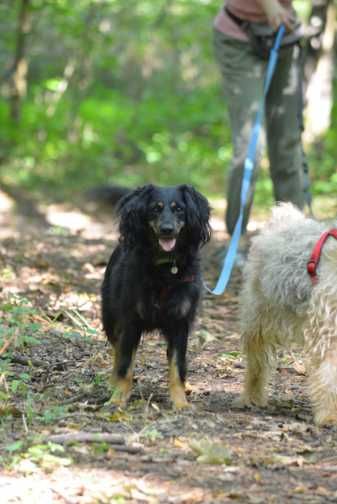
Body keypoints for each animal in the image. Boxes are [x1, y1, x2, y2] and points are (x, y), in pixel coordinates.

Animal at [101, 183, 210, 408]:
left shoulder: (180, 324)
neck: (165, 268)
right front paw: (117, 399)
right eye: (155, 209)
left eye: (179, 209)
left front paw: (180, 403)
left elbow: (178, 366)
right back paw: (113, 383)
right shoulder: (130, 321)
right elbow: (125, 363)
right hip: (110, 318)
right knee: (117, 351)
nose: (167, 229)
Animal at [236, 204, 336, 426]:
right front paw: (329, 415)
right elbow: (330, 376)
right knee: (257, 362)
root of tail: (283, 218)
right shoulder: (327, 334)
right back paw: (252, 396)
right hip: (260, 317)